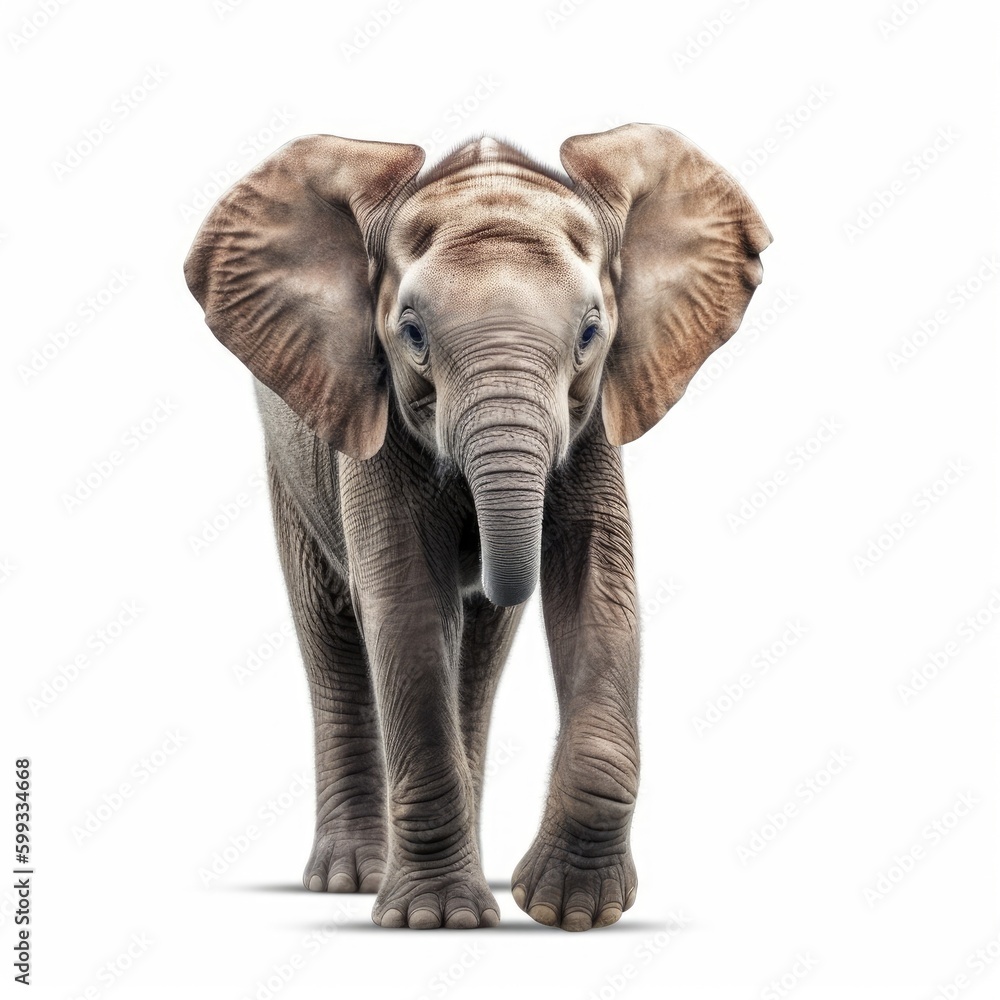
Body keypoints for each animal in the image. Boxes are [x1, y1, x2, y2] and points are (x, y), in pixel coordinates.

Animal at [184, 123, 770, 930]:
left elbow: (598, 591)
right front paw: (437, 921)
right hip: (291, 455)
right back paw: (352, 881)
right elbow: (404, 604)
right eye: (411, 334)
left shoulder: (593, 421)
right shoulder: (374, 423)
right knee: (333, 628)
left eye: (591, 332)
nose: (489, 563)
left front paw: (567, 912)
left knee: (481, 651)